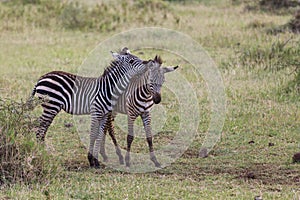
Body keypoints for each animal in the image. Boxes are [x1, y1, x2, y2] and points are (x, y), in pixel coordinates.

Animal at [29, 48, 157, 167]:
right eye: (131, 61)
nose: (149, 63)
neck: (108, 88)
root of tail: (41, 78)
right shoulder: (96, 112)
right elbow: (93, 134)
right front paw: (91, 159)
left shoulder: (105, 114)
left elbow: (100, 135)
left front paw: (96, 161)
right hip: (51, 106)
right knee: (40, 130)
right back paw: (41, 154)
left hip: (51, 108)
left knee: (43, 129)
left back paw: (43, 153)